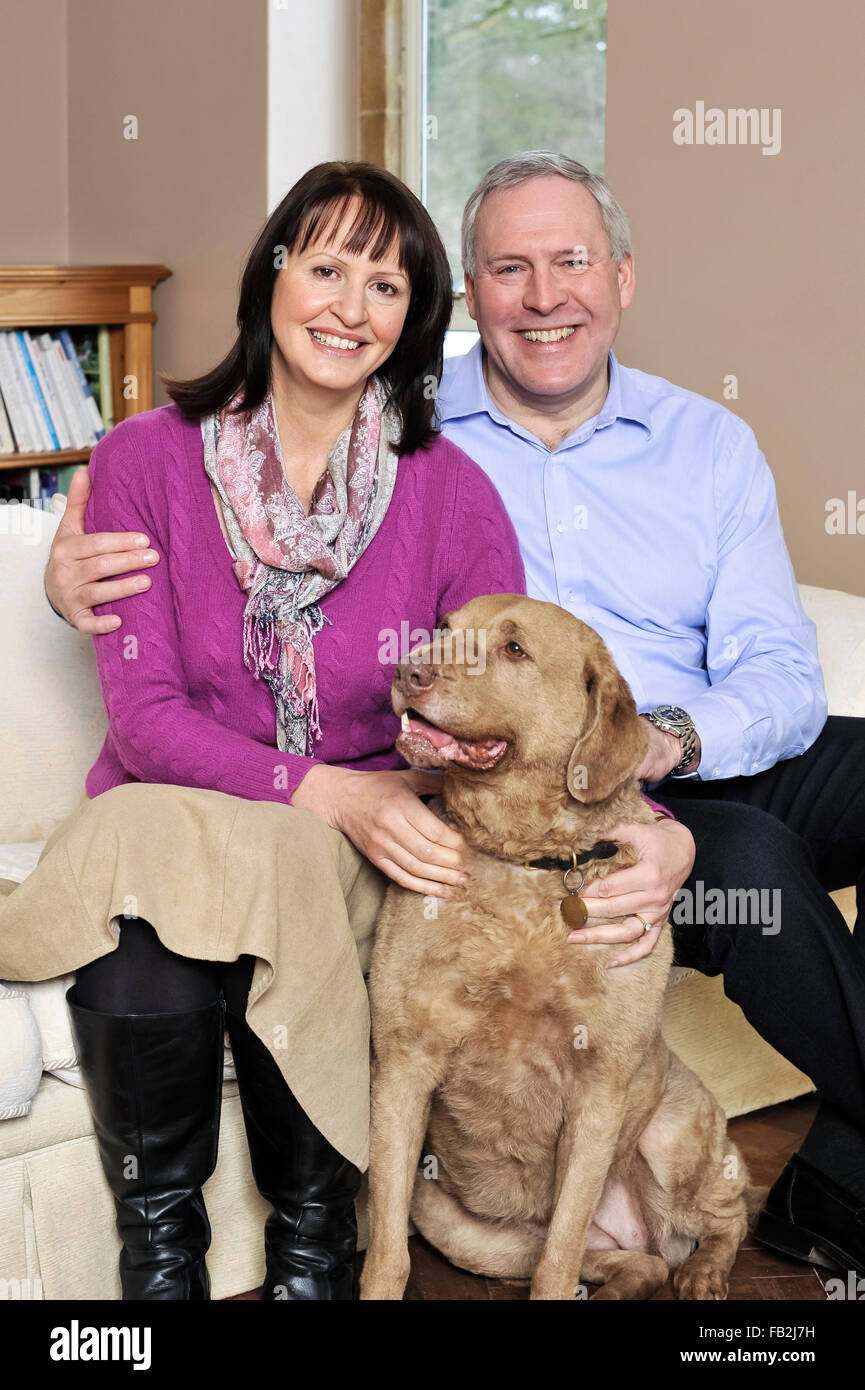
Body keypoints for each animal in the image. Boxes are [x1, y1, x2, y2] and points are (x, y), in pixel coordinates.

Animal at [358, 597, 756, 1301]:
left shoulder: (599, 1091)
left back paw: (705, 1271)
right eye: (442, 629)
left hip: (673, 1135)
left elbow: (559, 1255)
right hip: (462, 1230)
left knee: (724, 1217)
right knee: (638, 1262)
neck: (526, 863)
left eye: (514, 649)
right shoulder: (403, 1061)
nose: (407, 671)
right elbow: (386, 1250)